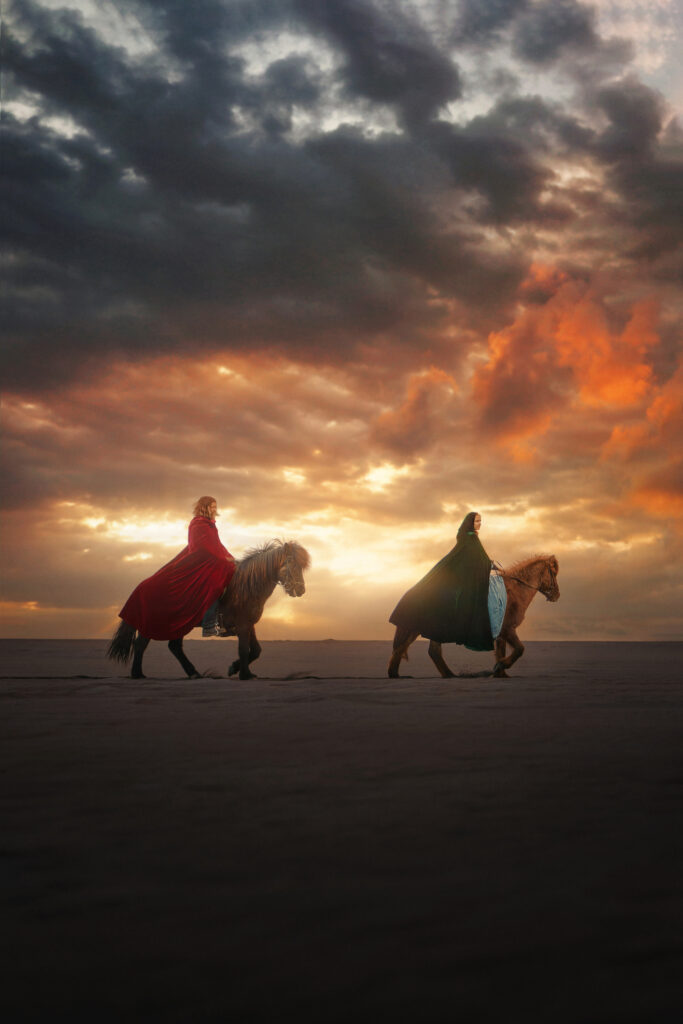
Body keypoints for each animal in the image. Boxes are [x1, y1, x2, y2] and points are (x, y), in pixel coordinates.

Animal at [108, 544, 311, 679]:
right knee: (141, 644)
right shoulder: (242, 625)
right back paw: (138, 674)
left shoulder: (249, 625)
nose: (300, 590)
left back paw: (193, 673)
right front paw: (244, 674)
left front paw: (236, 669)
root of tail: (142, 586)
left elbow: (256, 650)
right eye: (291, 562)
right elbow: (244, 649)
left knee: (174, 647)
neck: (246, 587)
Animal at [387, 552, 557, 679]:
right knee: (408, 649)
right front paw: (501, 666)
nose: (557, 595)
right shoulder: (508, 629)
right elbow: (520, 649)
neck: (514, 591)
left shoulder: (502, 633)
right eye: (553, 573)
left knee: (427, 651)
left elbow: (500, 652)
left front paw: (500, 672)